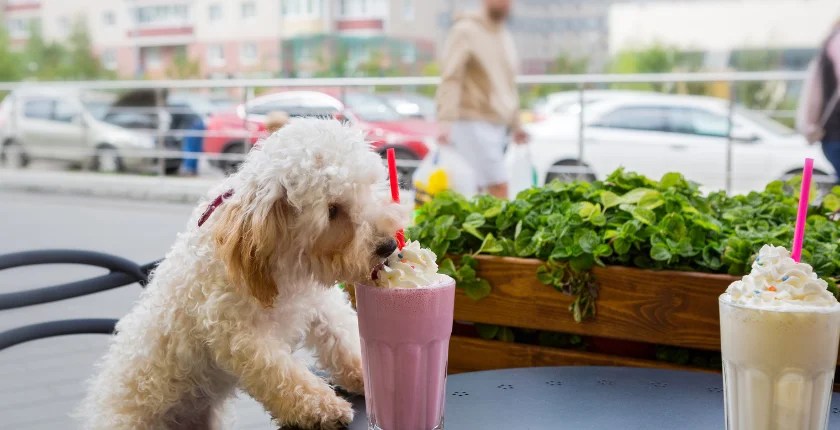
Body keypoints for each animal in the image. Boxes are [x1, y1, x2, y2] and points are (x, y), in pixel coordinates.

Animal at [79, 119, 410, 428]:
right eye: (333, 210)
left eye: (370, 188)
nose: (388, 245)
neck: (280, 261)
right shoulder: (239, 333)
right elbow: (281, 372)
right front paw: (321, 407)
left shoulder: (319, 305)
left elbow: (344, 338)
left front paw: (365, 375)